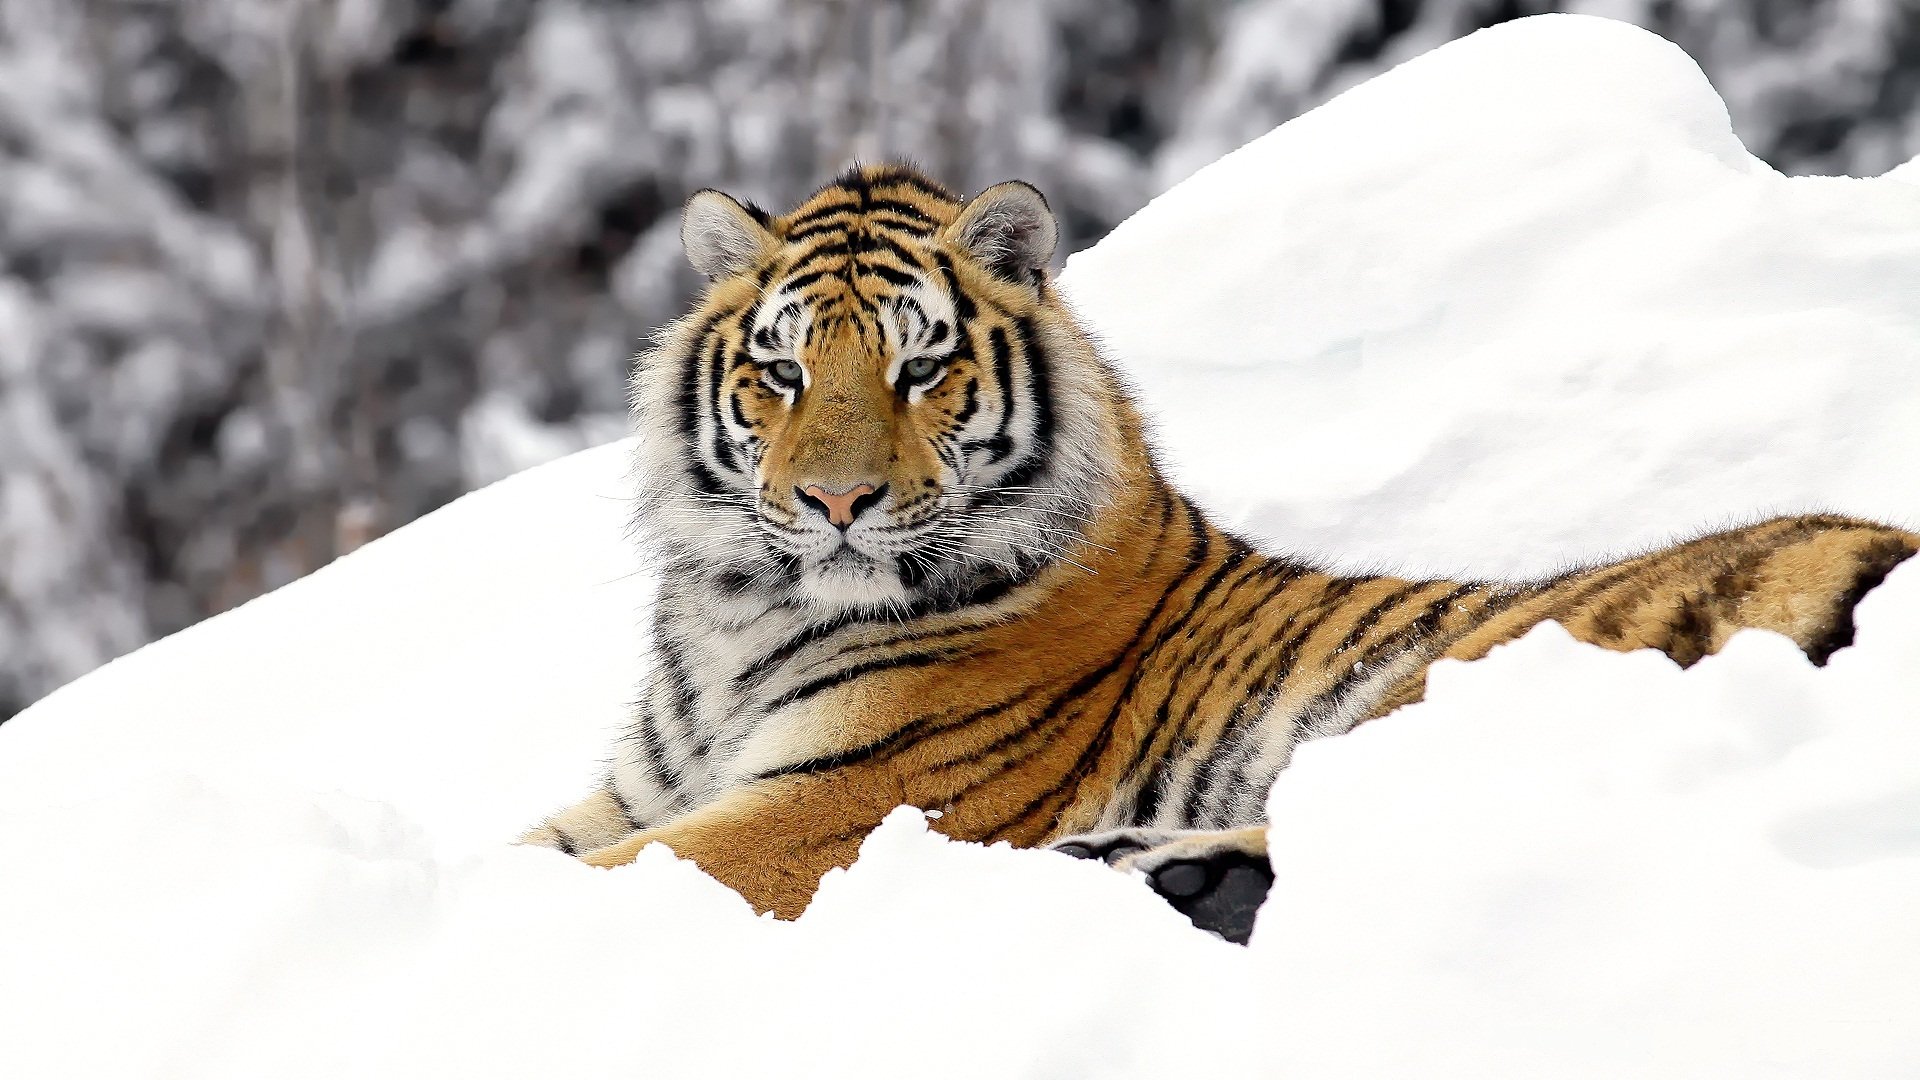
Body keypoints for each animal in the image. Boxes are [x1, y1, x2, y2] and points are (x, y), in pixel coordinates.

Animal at [522, 163, 1918, 944]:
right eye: (783, 372)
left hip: (1471, 672)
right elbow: (530, 853)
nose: (836, 500)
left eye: (920, 369)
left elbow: (582, 880)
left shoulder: (833, 805)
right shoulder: (635, 793)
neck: (739, 622)